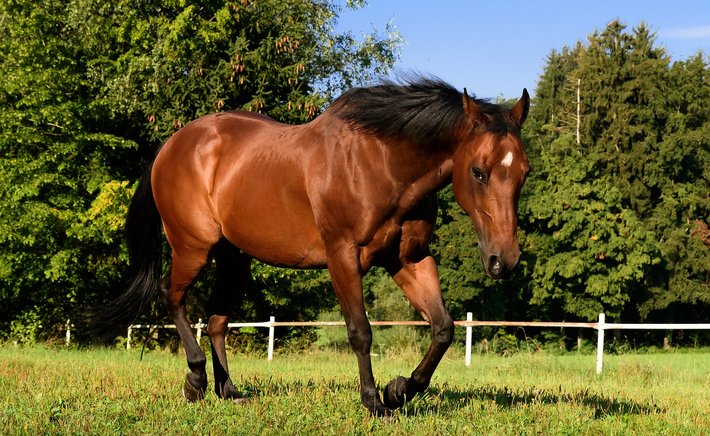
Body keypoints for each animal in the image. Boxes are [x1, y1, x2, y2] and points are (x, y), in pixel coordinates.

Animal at [94, 76, 530, 417]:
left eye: (524, 172)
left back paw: (230, 391)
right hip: (193, 247)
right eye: (478, 171)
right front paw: (374, 402)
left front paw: (399, 390)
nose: (503, 260)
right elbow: (360, 331)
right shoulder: (343, 257)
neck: (382, 163)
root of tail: (172, 146)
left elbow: (443, 329)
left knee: (217, 319)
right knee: (172, 296)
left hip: (234, 257)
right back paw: (196, 379)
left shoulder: (410, 260)